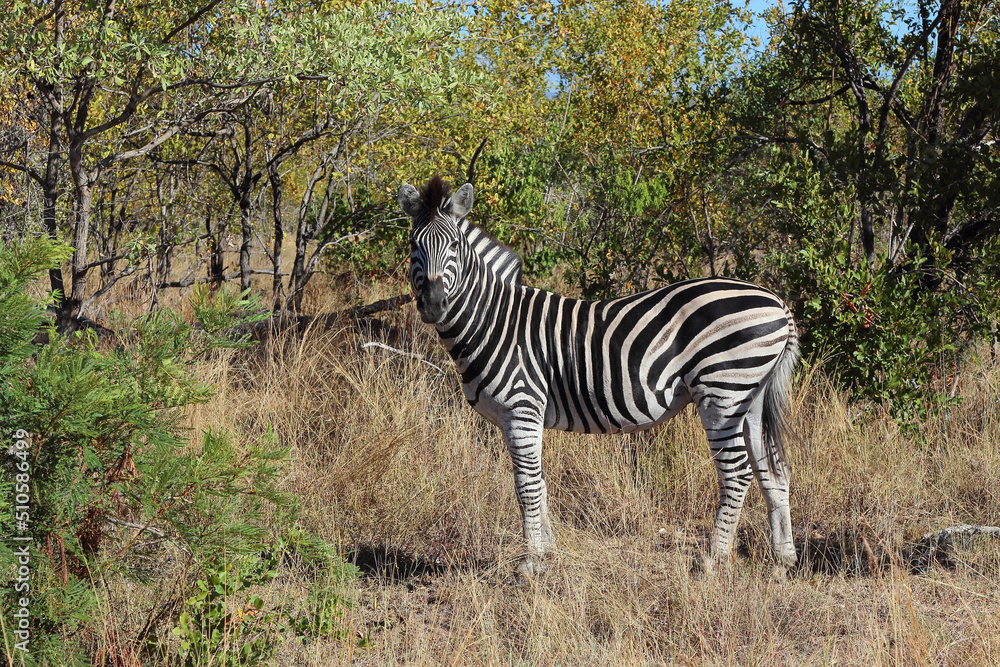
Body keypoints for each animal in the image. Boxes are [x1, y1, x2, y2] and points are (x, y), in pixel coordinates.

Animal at [399, 175, 799, 579]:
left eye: (453, 245)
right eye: (414, 244)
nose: (433, 306)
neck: (494, 320)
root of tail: (778, 302)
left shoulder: (522, 409)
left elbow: (526, 486)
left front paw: (531, 562)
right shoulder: (522, 418)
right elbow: (540, 483)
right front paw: (549, 552)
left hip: (723, 391)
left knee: (737, 474)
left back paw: (714, 561)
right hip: (751, 397)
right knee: (773, 471)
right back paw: (782, 561)